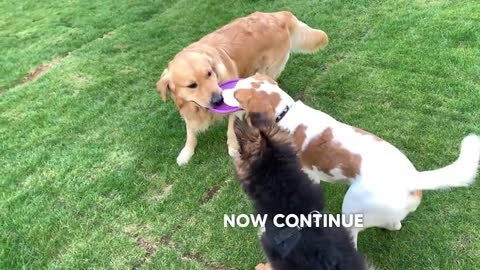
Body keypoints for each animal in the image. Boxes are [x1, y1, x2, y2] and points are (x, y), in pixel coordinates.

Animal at [156, 11, 328, 165]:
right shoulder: (188, 108)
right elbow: (190, 131)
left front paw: (233, 147)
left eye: (209, 73)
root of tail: (279, 15)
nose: (219, 100)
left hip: (267, 69)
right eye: (192, 85)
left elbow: (231, 127)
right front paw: (186, 152)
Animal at [226, 74, 480, 247]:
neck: (283, 113)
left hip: (352, 211)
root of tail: (412, 178)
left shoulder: (307, 175)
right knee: (395, 224)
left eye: (237, 94)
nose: (222, 91)